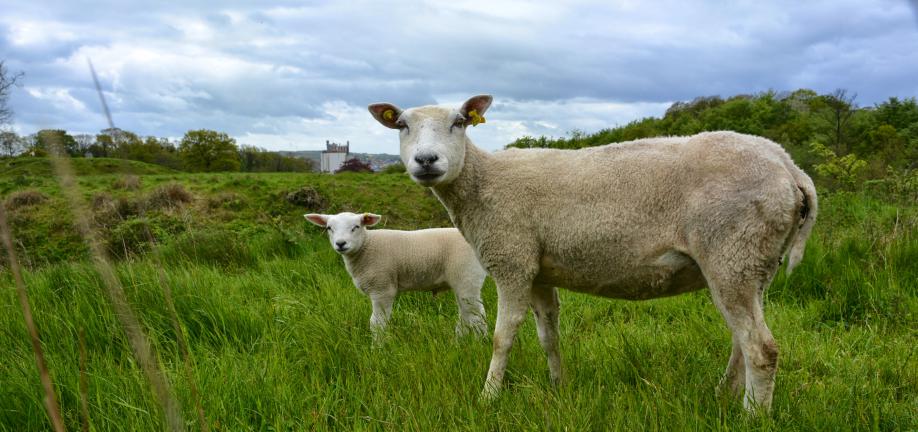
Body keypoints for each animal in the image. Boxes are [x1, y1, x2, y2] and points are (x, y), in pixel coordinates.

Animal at [306, 213, 492, 338]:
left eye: (356, 227)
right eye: (329, 228)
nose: (340, 244)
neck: (366, 246)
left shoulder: (382, 289)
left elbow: (377, 323)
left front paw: (377, 349)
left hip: (468, 277)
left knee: (477, 316)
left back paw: (478, 342)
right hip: (461, 281)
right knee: (465, 315)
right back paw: (459, 342)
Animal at [366, 94, 820, 412]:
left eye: (459, 122)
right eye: (401, 125)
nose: (426, 160)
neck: (484, 184)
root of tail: (790, 168)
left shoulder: (512, 260)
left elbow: (501, 338)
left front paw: (488, 397)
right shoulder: (538, 270)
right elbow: (549, 336)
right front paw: (558, 388)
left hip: (732, 250)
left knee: (761, 349)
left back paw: (752, 416)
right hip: (755, 261)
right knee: (742, 342)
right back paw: (723, 397)